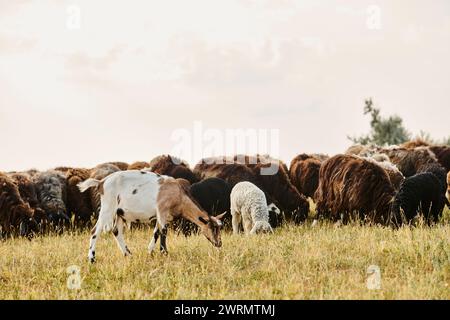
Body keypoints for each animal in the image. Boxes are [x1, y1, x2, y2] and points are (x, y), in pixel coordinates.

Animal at [78, 170, 225, 262]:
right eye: (213, 228)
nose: (219, 243)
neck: (179, 195)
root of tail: (101, 182)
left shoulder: (161, 216)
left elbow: (156, 232)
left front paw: (150, 252)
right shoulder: (162, 211)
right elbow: (164, 232)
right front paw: (164, 253)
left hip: (119, 213)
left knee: (116, 231)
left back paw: (128, 254)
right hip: (108, 208)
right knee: (95, 231)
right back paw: (92, 258)